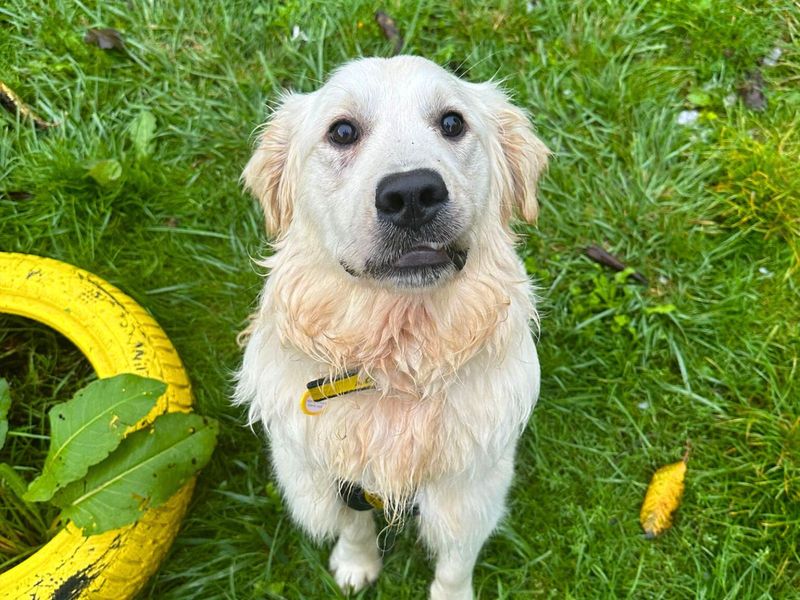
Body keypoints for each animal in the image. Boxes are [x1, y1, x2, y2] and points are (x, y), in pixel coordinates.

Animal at [234, 54, 552, 596]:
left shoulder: (471, 492)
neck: (398, 359)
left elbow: (455, 561)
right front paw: (355, 565)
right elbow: (354, 525)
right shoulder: (328, 479)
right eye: (342, 131)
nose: (412, 193)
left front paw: (451, 594)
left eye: (452, 122)